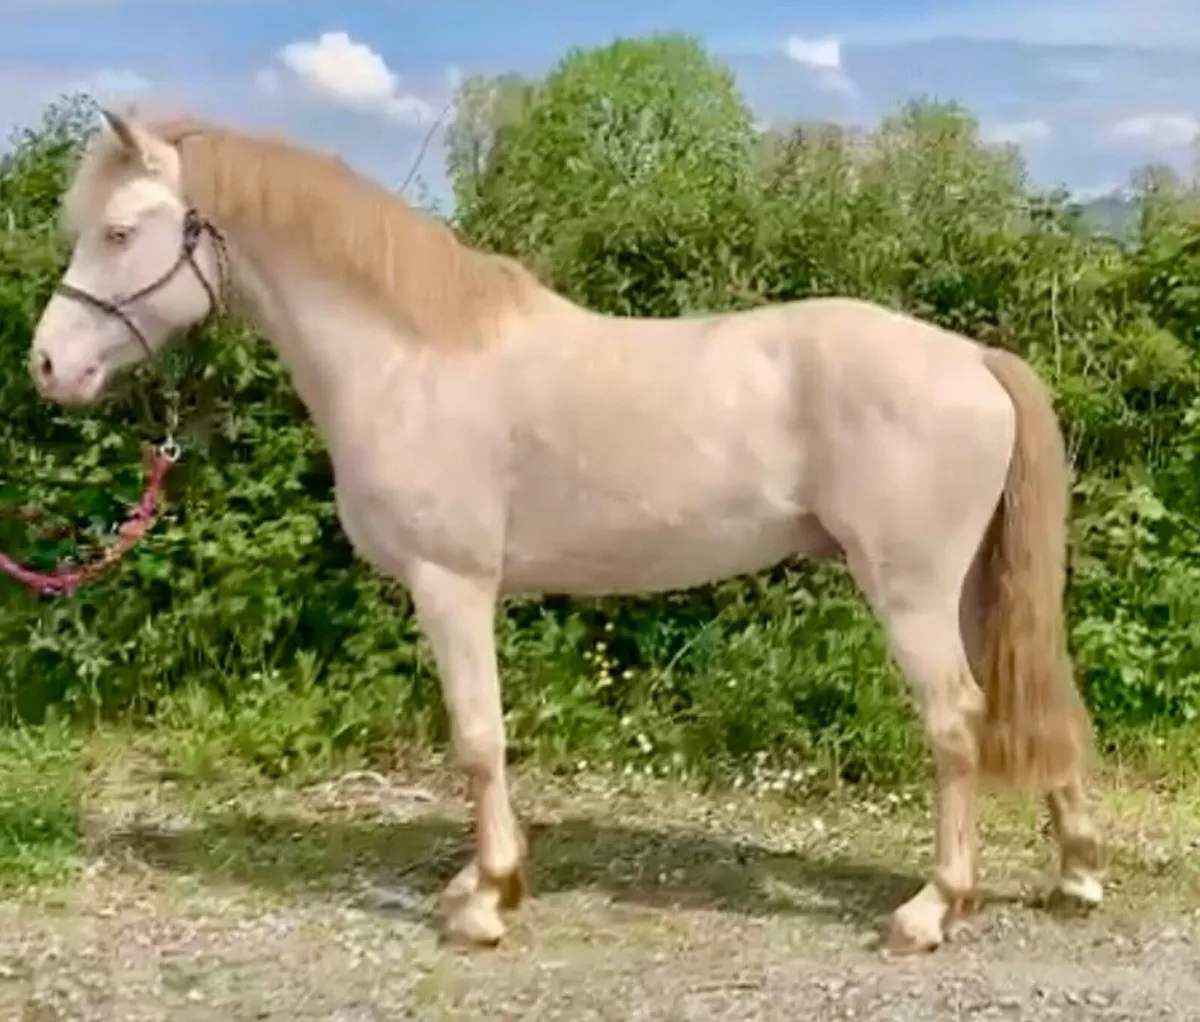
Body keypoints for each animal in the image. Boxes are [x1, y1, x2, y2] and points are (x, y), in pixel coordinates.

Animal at [27, 108, 1103, 954]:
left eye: (119, 230)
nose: (48, 366)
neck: (408, 357)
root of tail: (972, 357)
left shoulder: (451, 584)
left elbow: (476, 738)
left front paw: (485, 900)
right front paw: (479, 885)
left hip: (910, 589)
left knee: (956, 721)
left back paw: (931, 908)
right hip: (968, 587)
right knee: (1029, 696)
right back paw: (1077, 872)